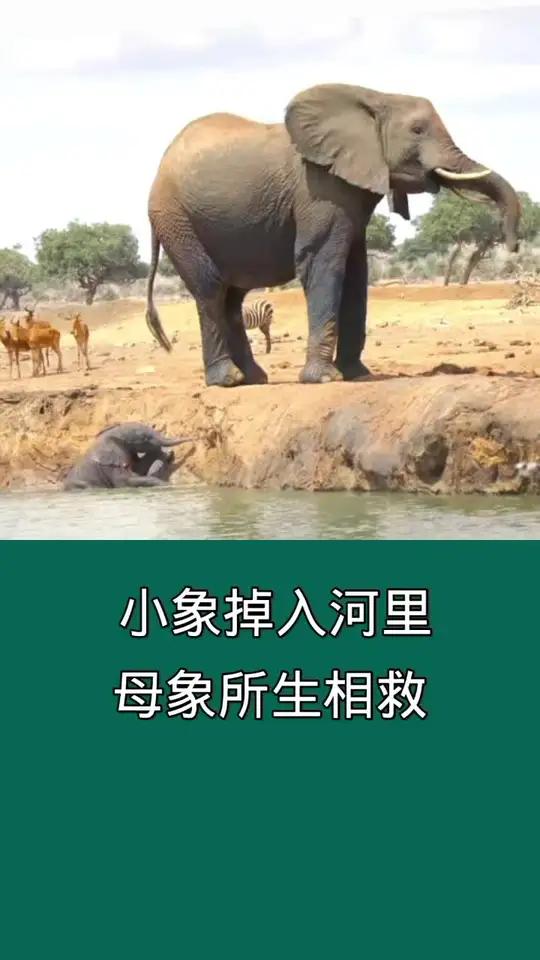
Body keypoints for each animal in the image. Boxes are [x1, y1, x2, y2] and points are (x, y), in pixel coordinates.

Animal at [63, 423, 192, 491]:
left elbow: (139, 468)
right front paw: (167, 486)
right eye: (145, 438)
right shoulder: (110, 465)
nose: (193, 439)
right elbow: (126, 481)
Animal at [145, 82, 521, 388]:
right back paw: (227, 380)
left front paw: (358, 375)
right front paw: (324, 378)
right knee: (210, 290)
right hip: (176, 219)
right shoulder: (319, 189)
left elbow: (356, 274)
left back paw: (253, 379)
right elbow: (322, 263)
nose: (514, 245)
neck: (375, 98)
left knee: (232, 297)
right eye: (417, 130)